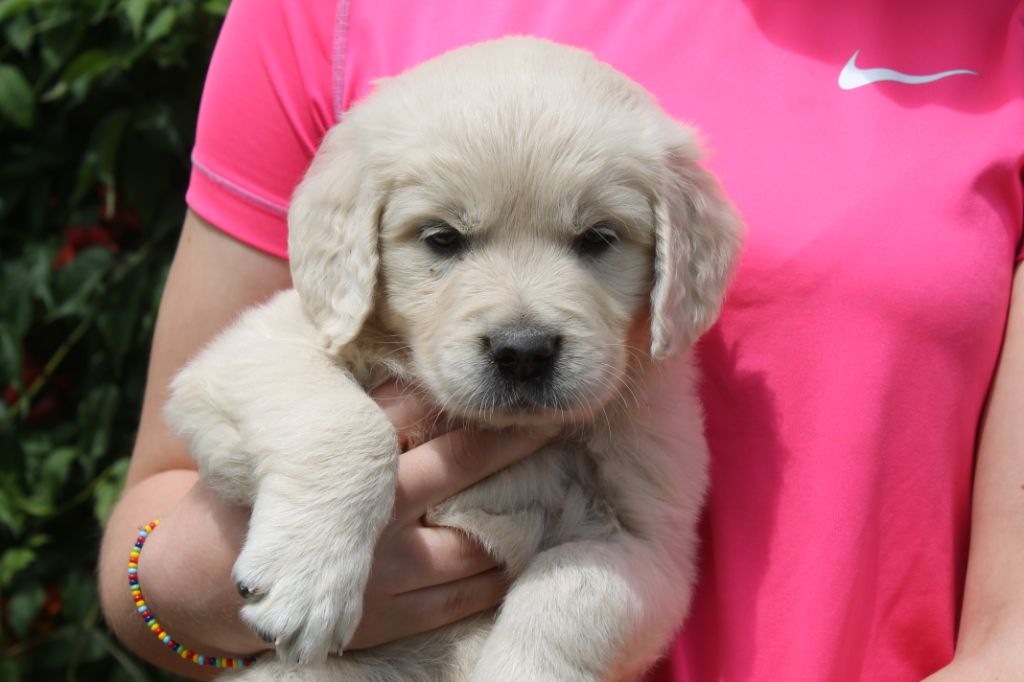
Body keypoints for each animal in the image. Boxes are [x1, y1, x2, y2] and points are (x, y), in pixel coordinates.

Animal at [167, 35, 745, 679]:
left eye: (598, 237)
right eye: (442, 238)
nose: (523, 351)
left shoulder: (652, 547)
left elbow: (571, 594)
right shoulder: (252, 349)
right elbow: (345, 425)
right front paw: (307, 579)